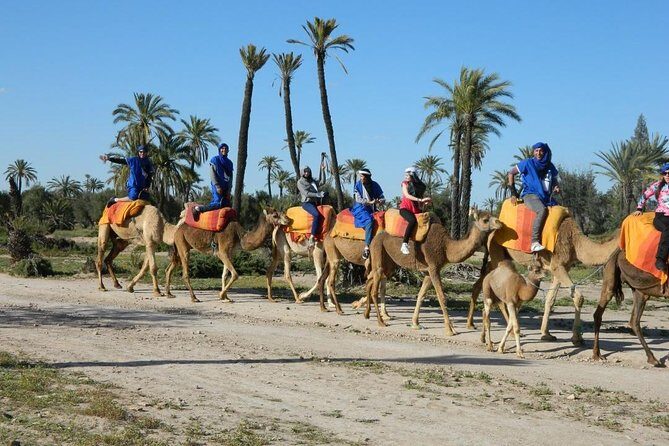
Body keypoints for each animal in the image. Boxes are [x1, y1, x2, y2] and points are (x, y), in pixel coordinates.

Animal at [368, 209, 502, 335]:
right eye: (485, 220)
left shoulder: (429, 271)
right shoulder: (434, 268)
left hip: (390, 262)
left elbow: (421, 295)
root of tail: (375, 237)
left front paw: (415, 323)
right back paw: (380, 321)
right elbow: (441, 297)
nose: (499, 223)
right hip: (378, 250)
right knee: (375, 286)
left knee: (372, 279)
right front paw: (450, 330)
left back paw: (368, 314)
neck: (446, 247)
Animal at [467, 217, 620, 345]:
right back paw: (510, 333)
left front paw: (546, 334)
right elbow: (578, 297)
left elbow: (550, 299)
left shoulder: (563, 267)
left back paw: (480, 331)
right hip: (497, 251)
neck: (576, 242)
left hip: (504, 255)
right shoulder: (558, 264)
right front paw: (577, 338)